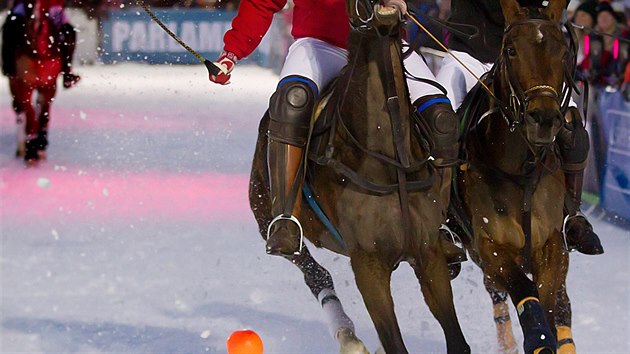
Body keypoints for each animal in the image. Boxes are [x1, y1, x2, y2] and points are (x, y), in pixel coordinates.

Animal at [1, 0, 78, 165]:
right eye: (28, 4)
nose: (36, 25)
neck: (40, 50)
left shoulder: (49, 85)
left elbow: (43, 115)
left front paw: (41, 145)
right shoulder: (25, 85)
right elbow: (30, 115)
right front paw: (31, 151)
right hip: (13, 83)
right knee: (19, 110)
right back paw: (22, 147)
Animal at [247, 0, 470, 354]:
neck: (389, 158)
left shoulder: (428, 253)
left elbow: (458, 342)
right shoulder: (368, 264)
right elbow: (395, 344)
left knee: (442, 116)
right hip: (267, 216)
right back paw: (347, 336)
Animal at [452, 0, 580, 354]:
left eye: (562, 51)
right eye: (511, 50)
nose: (544, 118)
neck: (520, 169)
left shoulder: (553, 244)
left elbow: (551, 302)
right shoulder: (490, 245)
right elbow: (523, 289)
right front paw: (537, 337)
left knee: (563, 303)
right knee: (496, 290)